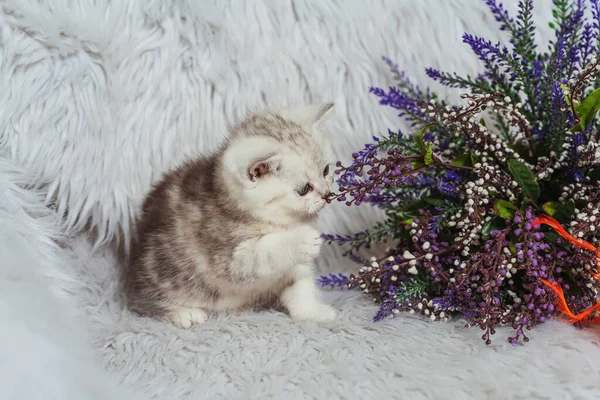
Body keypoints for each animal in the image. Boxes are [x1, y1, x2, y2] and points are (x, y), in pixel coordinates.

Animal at [127, 103, 340, 328]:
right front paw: (301, 240)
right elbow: (260, 256)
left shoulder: (296, 269)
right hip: (161, 273)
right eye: (304, 189)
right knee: (142, 303)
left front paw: (312, 313)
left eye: (326, 170)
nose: (327, 194)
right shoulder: (224, 257)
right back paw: (184, 313)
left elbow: (301, 286)